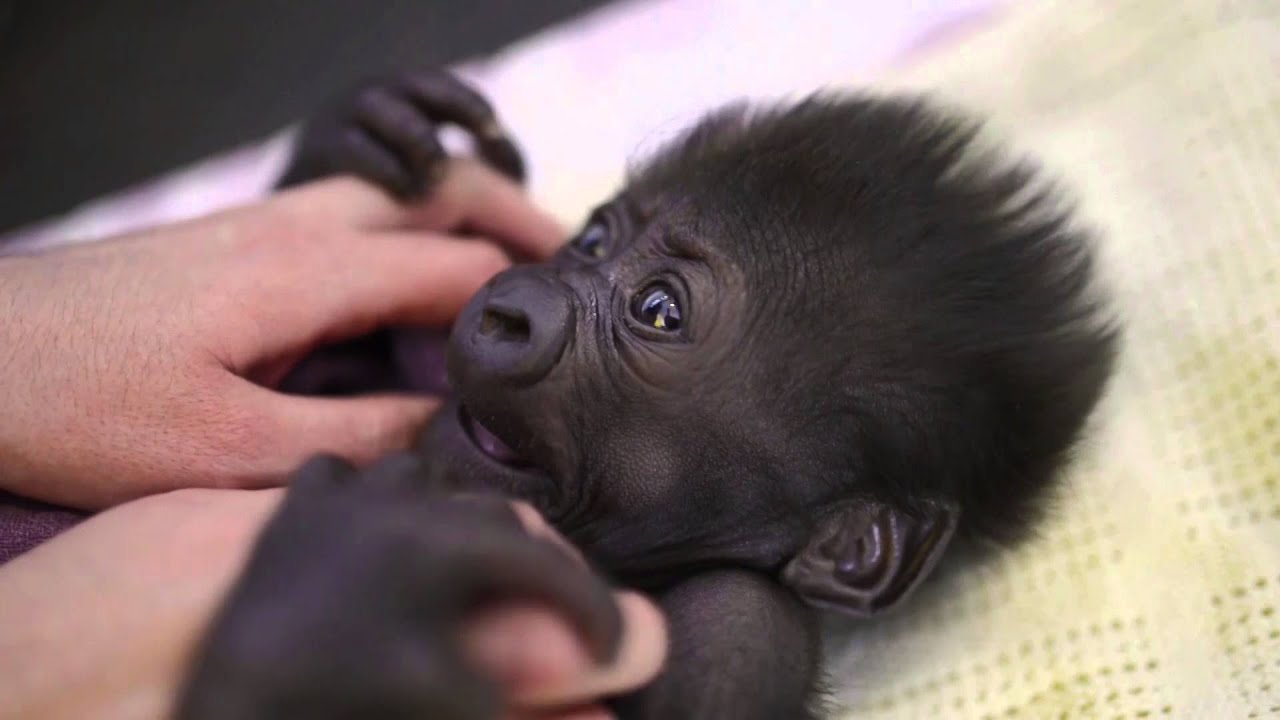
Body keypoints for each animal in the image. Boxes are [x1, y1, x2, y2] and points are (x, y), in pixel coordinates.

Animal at [178, 70, 1118, 719]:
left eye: (659, 310)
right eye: (593, 240)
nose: (508, 306)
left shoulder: (741, 627)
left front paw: (348, 600)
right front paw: (350, 143)